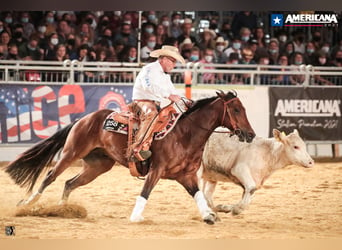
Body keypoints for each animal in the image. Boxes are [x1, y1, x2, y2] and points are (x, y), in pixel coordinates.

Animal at [4, 90, 255, 225]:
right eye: (236, 110)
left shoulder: (186, 176)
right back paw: (28, 204)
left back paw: (63, 209)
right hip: (70, 153)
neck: (185, 134)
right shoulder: (156, 170)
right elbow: (145, 193)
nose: (250, 134)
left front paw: (209, 216)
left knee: (69, 183)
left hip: (97, 166)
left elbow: (199, 195)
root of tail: (84, 118)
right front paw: (135, 217)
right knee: (50, 177)